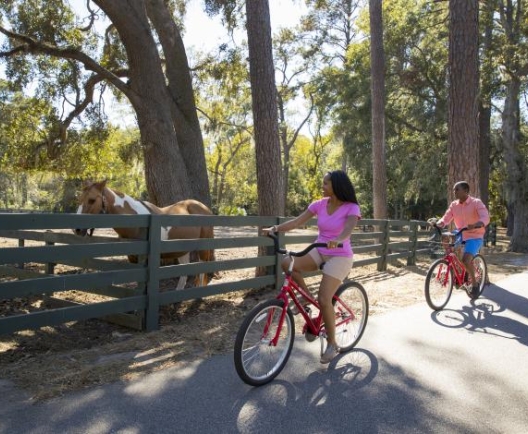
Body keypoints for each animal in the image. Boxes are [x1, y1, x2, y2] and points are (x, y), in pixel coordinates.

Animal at [75, 180, 214, 288]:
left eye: (92, 200)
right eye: (79, 199)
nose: (77, 229)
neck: (137, 221)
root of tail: (203, 207)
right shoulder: (132, 258)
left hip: (203, 249)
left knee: (202, 271)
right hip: (182, 250)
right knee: (184, 273)